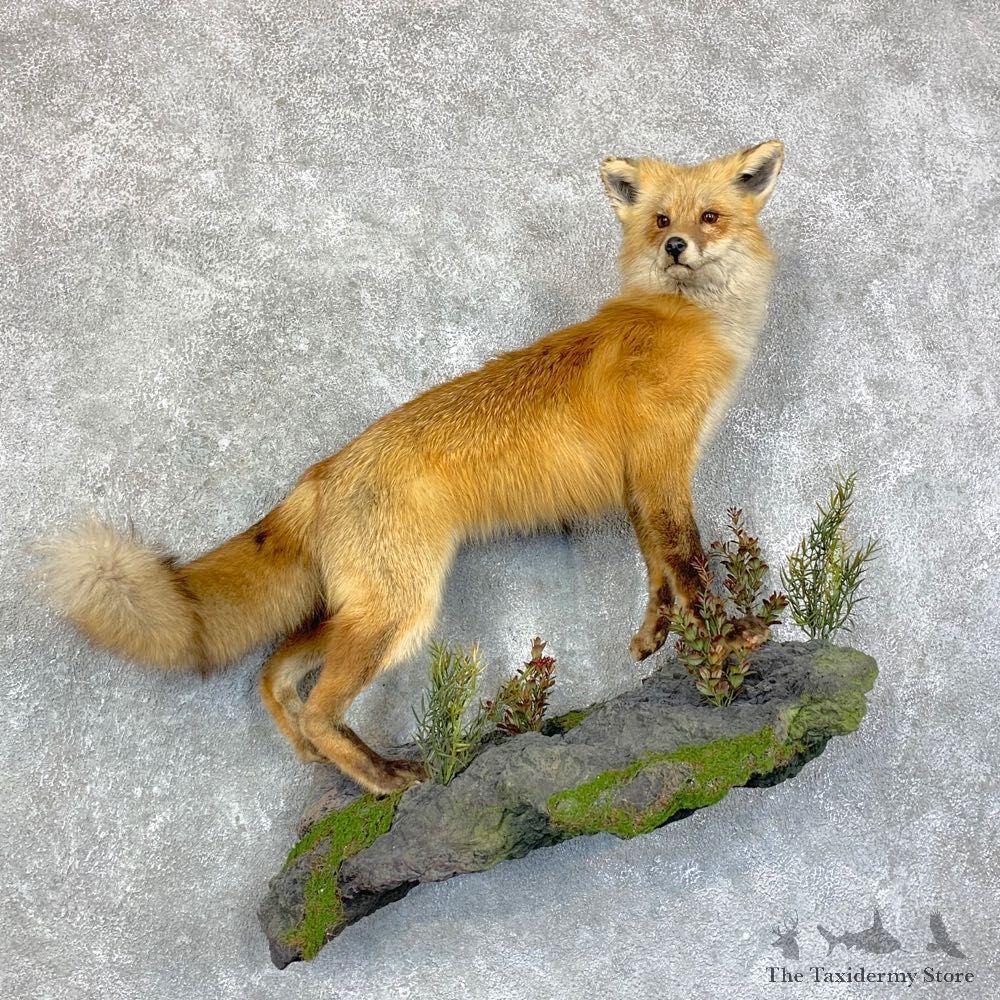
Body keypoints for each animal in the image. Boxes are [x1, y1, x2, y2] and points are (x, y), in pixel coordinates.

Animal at [42, 140, 785, 796]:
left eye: (708, 216)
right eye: (660, 220)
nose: (675, 247)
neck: (687, 323)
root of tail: (324, 471)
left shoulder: (645, 485)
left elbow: (659, 569)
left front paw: (656, 637)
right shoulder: (662, 470)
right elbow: (690, 565)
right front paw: (729, 638)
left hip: (363, 608)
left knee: (275, 675)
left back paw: (321, 756)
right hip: (399, 612)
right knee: (319, 705)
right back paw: (383, 779)